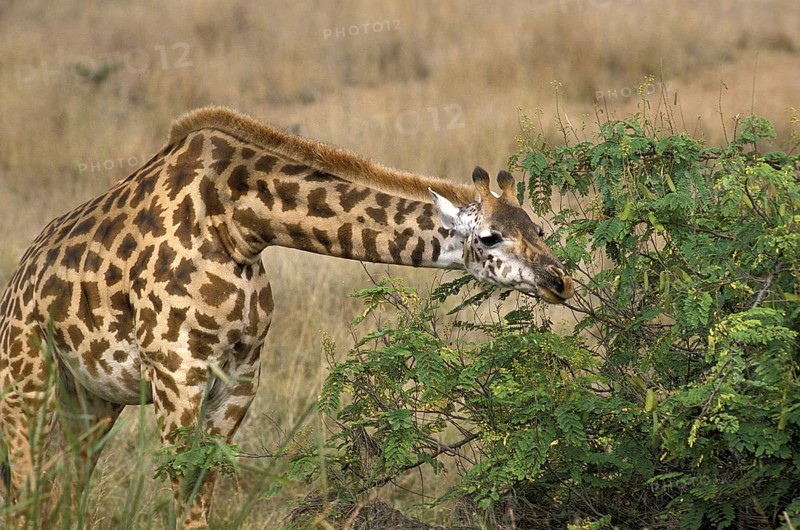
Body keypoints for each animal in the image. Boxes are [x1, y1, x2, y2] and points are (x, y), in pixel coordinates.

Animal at [0, 106, 574, 528]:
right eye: (489, 237)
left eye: (539, 227)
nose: (559, 281)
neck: (238, 223)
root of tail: (16, 286)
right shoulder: (176, 376)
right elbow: (186, 499)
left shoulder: (239, 380)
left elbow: (203, 492)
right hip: (26, 386)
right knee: (28, 490)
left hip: (90, 400)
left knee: (61, 494)